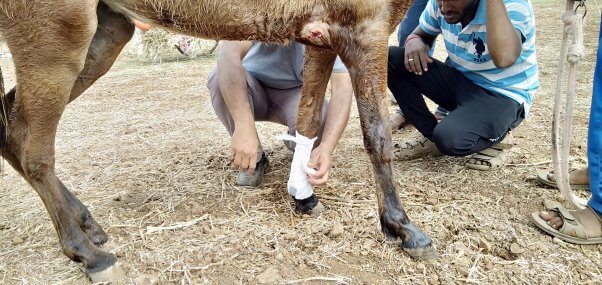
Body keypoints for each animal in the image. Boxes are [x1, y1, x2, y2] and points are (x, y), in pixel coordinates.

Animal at [0, 0, 432, 280]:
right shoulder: (365, 30)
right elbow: (377, 135)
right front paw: (402, 228)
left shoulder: (322, 38)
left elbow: (308, 122)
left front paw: (302, 193)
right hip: (55, 40)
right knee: (31, 147)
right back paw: (88, 254)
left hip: (103, 34)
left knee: (10, 129)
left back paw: (86, 224)